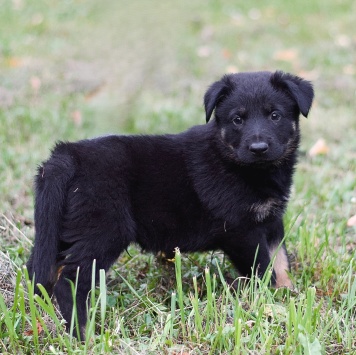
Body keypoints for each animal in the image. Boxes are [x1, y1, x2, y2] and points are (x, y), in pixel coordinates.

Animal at [27, 70, 312, 340]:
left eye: (275, 115)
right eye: (237, 120)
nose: (258, 148)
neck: (251, 170)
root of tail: (65, 158)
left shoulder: (272, 222)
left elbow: (281, 262)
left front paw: (288, 295)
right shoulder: (243, 231)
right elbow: (264, 269)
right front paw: (270, 302)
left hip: (60, 231)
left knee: (43, 274)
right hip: (103, 232)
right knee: (69, 283)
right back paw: (83, 335)